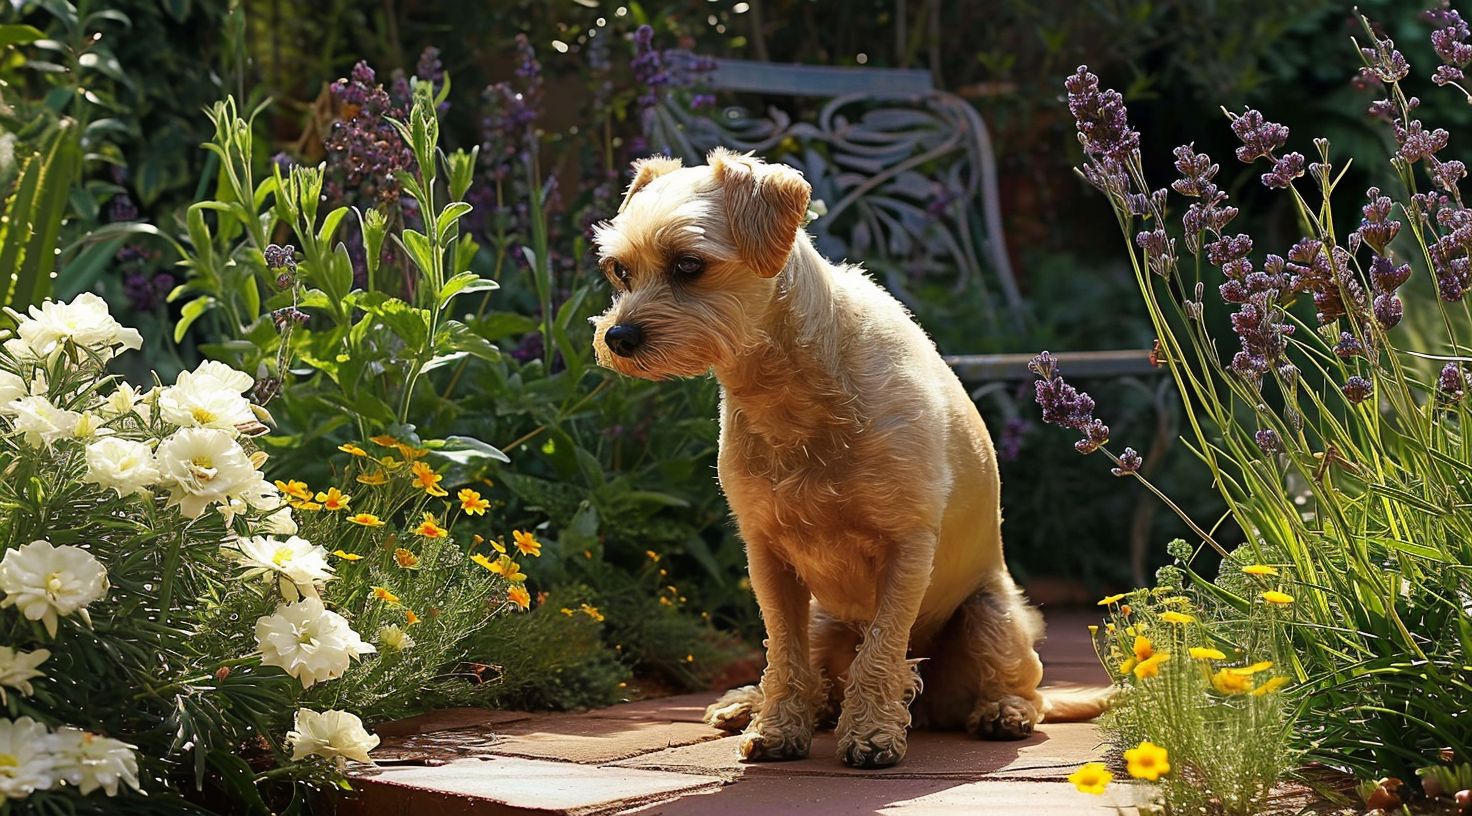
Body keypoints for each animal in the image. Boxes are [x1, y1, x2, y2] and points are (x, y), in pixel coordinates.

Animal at [585, 149, 1106, 765]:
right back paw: (746, 705)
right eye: (620, 271)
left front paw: (872, 734)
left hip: (991, 617)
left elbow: (881, 649)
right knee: (813, 677)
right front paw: (776, 729)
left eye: (689, 264)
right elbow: (783, 654)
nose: (617, 337)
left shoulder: (907, 545)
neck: (790, 389)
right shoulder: (768, 557)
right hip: (824, 620)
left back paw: (1002, 712)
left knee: (1026, 688)